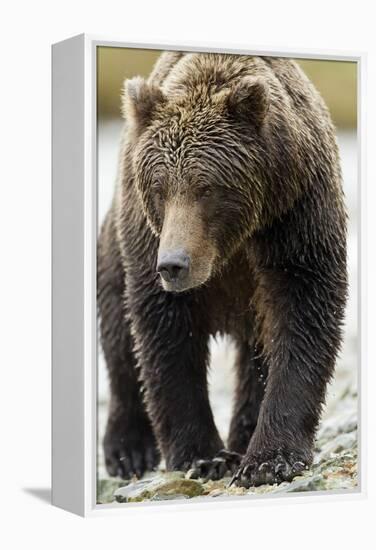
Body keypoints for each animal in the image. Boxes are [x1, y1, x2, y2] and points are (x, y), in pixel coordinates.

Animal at [97, 51, 346, 490]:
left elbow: (303, 314)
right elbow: (166, 337)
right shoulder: (147, 240)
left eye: (206, 187)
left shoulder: (296, 214)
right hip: (114, 248)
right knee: (120, 339)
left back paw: (244, 436)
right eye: (159, 188)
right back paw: (129, 450)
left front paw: (270, 459)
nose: (173, 264)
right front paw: (204, 456)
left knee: (256, 355)